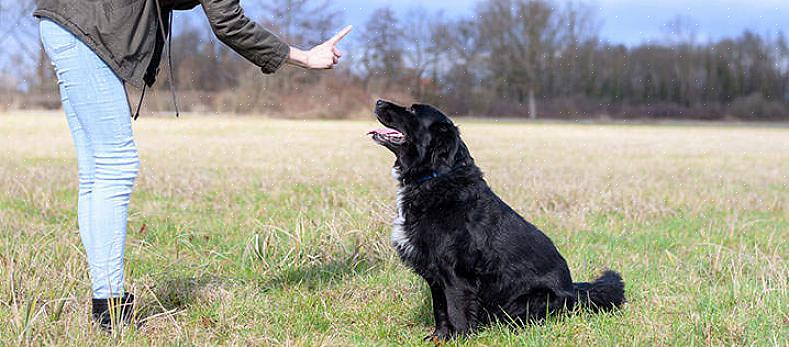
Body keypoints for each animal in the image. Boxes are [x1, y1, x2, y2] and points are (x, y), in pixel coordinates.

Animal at [368, 100, 620, 340]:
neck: (434, 177)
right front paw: (439, 337)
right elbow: (440, 310)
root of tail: (573, 291)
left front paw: (460, 338)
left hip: (529, 301)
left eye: (412, 110)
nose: (378, 101)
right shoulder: (435, 275)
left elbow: (456, 312)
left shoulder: (455, 274)